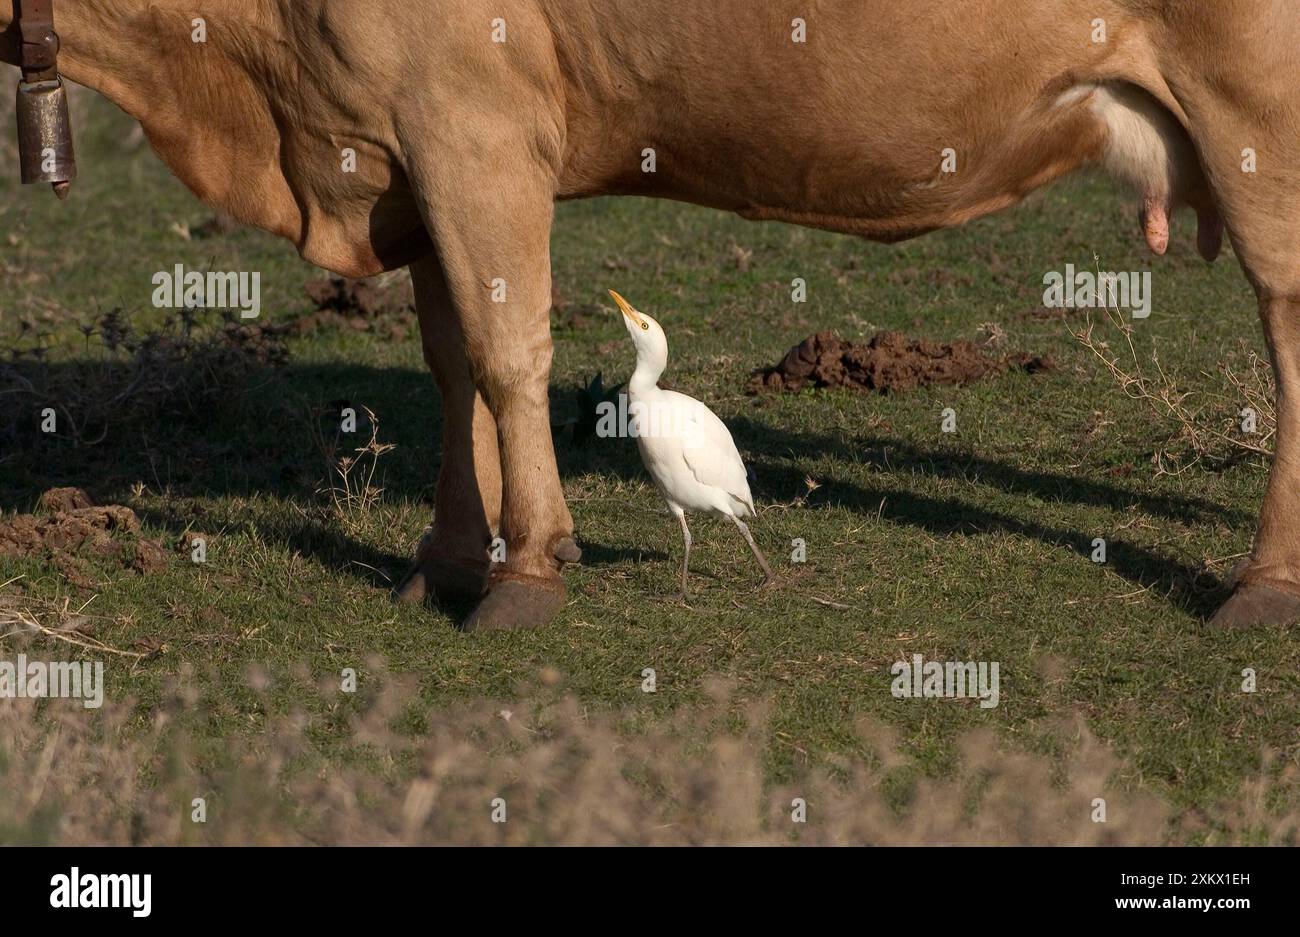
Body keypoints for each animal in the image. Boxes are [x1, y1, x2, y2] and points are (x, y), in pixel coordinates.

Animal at [3, 0, 1298, 632]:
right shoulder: (407, 157)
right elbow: (450, 357)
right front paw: (447, 558)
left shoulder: (470, 120)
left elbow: (505, 348)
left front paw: (528, 568)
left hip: (1256, 108)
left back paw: (1261, 586)